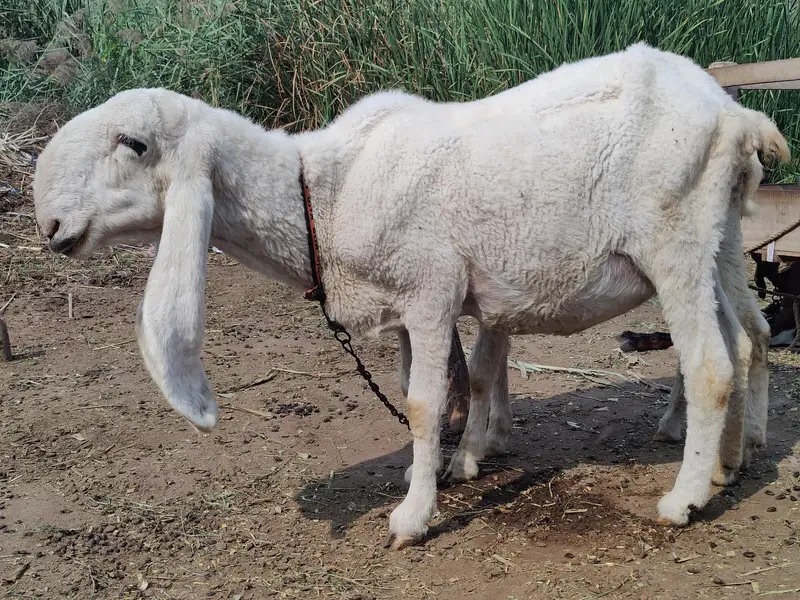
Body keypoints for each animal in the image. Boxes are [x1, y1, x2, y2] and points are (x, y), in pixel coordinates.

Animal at [32, 42, 790, 550]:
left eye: (134, 144)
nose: (50, 227)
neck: (324, 195)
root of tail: (734, 113)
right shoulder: (408, 308)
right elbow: (452, 383)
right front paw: (451, 465)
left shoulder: (430, 290)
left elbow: (428, 403)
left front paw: (412, 516)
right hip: (721, 235)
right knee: (749, 338)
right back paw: (733, 459)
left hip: (674, 240)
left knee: (710, 365)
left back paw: (684, 498)